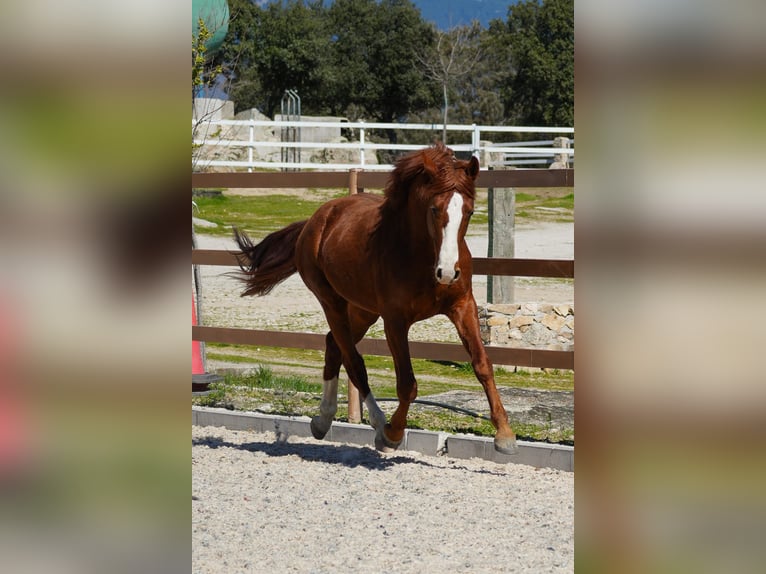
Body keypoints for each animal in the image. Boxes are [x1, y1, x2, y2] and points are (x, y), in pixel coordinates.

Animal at [233, 143, 517, 455]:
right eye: (434, 209)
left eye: (469, 210)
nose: (447, 273)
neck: (422, 257)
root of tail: (316, 219)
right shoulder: (395, 320)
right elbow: (407, 383)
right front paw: (393, 433)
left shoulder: (462, 306)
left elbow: (483, 365)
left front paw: (505, 435)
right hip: (332, 303)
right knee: (353, 361)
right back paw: (377, 424)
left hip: (362, 311)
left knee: (333, 346)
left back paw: (322, 420)